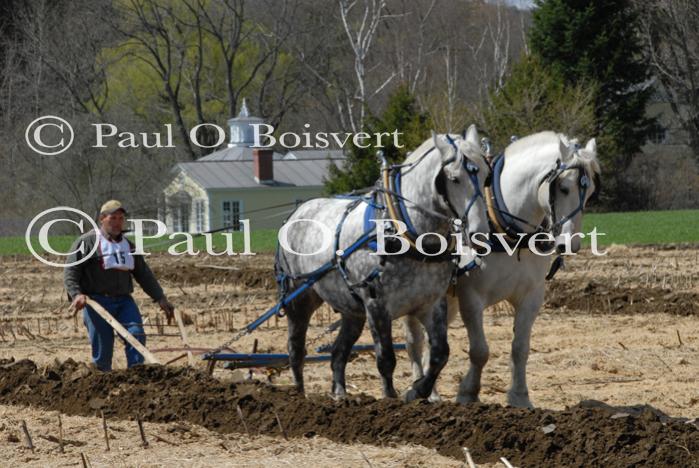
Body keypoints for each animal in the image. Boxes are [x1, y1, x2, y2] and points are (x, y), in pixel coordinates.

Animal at [276, 126, 490, 400]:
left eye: (486, 176)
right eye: (454, 179)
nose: (479, 233)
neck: (407, 232)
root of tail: (297, 212)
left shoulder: (431, 303)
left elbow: (440, 354)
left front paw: (418, 390)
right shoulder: (376, 303)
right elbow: (386, 359)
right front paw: (391, 398)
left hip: (352, 310)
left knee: (338, 352)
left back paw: (340, 394)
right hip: (299, 299)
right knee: (296, 349)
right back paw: (298, 395)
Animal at [404, 131, 600, 406]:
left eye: (590, 191)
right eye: (563, 188)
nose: (568, 244)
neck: (506, 228)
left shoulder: (531, 296)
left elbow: (520, 349)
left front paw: (519, 397)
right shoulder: (471, 297)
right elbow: (479, 351)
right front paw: (468, 392)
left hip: (446, 300)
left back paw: (431, 392)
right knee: (415, 340)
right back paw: (418, 388)